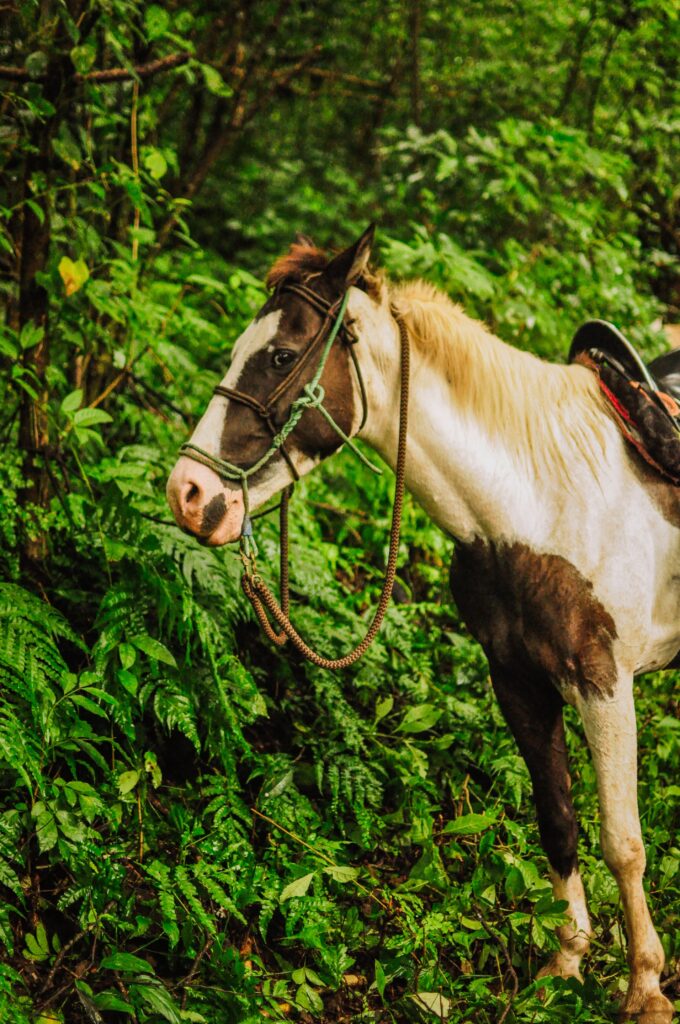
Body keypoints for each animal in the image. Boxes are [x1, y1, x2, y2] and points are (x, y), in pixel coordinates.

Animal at [165, 228, 680, 1019]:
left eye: (280, 356)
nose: (187, 493)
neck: (543, 502)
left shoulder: (603, 681)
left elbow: (624, 842)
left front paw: (645, 987)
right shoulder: (518, 682)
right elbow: (558, 821)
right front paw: (565, 963)